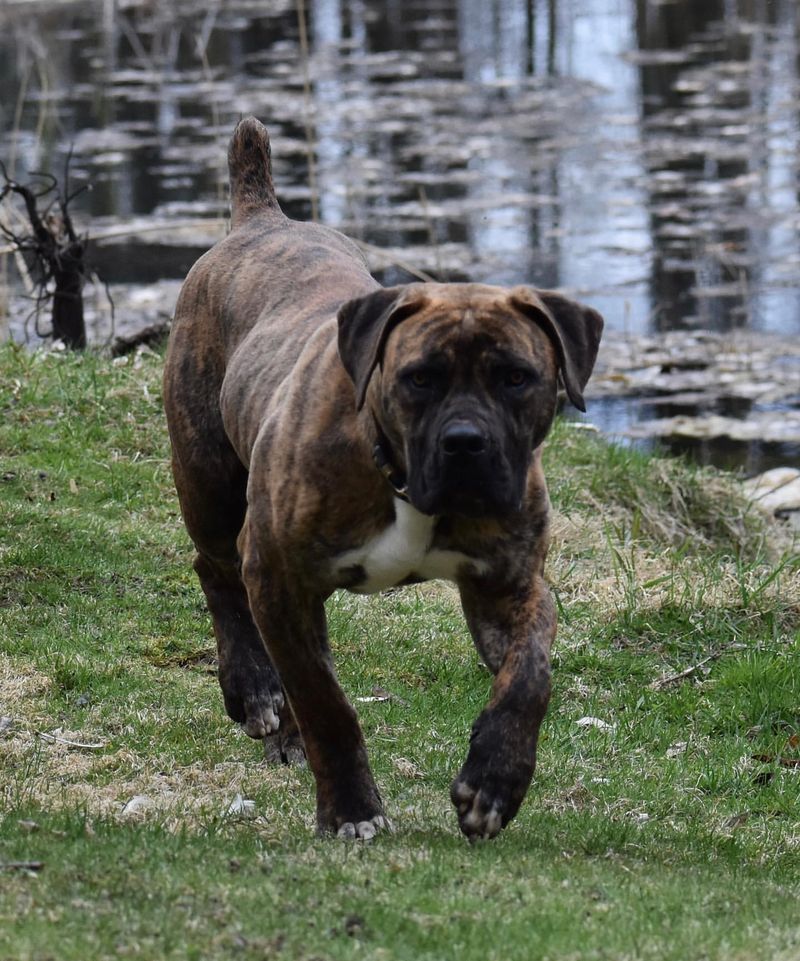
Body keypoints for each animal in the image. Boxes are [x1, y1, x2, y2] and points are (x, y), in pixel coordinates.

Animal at [162, 118, 600, 840]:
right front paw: (352, 809)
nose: (466, 442)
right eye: (419, 378)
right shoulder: (277, 574)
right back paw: (254, 689)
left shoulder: (508, 586)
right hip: (209, 479)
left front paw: (495, 781)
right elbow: (326, 703)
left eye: (517, 377)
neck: (398, 479)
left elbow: (529, 672)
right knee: (217, 573)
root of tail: (261, 216)